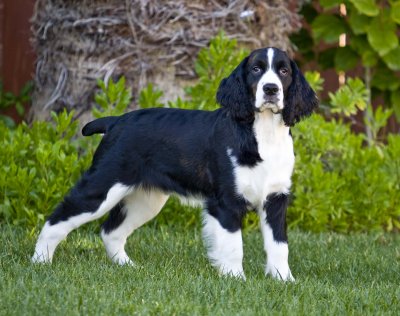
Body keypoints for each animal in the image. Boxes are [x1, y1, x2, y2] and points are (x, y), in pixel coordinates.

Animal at [32, 47, 318, 282]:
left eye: (283, 71)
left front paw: (284, 280)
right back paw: (40, 261)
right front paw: (236, 279)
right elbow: (233, 244)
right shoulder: (225, 201)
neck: (262, 133)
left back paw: (127, 266)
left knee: (110, 231)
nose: (271, 89)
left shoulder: (276, 199)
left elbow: (279, 245)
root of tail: (115, 121)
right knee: (58, 219)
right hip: (103, 185)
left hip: (146, 199)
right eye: (256, 69)